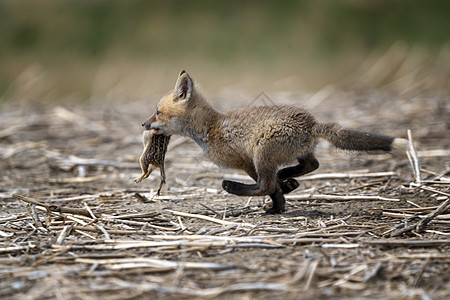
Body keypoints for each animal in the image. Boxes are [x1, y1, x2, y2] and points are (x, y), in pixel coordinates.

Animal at [142, 71, 408, 213]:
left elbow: (269, 188)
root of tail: (311, 123)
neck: (210, 128)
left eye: (157, 112)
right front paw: (284, 197)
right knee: (312, 165)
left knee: (266, 184)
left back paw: (236, 188)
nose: (143, 125)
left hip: (263, 151)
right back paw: (287, 177)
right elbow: (278, 188)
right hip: (295, 152)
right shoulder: (251, 163)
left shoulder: (246, 161)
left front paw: (279, 205)